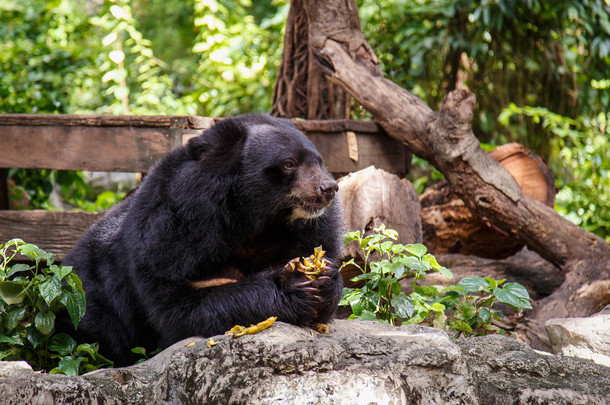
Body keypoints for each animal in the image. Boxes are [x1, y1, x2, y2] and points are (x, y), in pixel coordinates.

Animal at [64, 114, 346, 366]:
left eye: (319, 161)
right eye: (289, 163)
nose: (328, 188)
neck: (258, 220)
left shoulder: (311, 231)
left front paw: (326, 279)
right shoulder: (174, 237)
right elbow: (181, 306)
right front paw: (293, 285)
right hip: (89, 296)